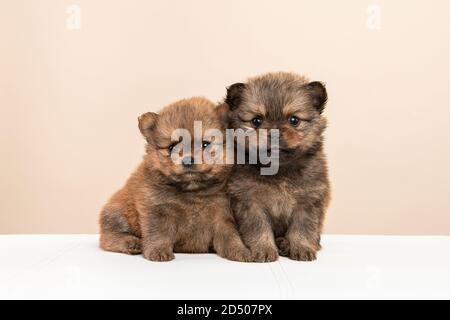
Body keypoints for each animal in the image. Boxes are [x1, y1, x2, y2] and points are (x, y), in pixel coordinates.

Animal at [99, 96, 251, 262]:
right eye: (171, 147)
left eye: (205, 144)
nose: (188, 161)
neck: (192, 191)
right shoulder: (156, 210)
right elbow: (158, 233)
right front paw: (158, 252)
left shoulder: (222, 215)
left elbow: (231, 237)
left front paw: (241, 251)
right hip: (119, 213)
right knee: (108, 237)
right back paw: (131, 242)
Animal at [225, 72, 330, 262]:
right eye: (256, 121)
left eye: (294, 120)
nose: (274, 132)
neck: (279, 170)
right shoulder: (250, 203)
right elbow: (258, 228)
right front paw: (263, 249)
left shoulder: (308, 201)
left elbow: (303, 228)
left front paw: (301, 247)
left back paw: (285, 244)